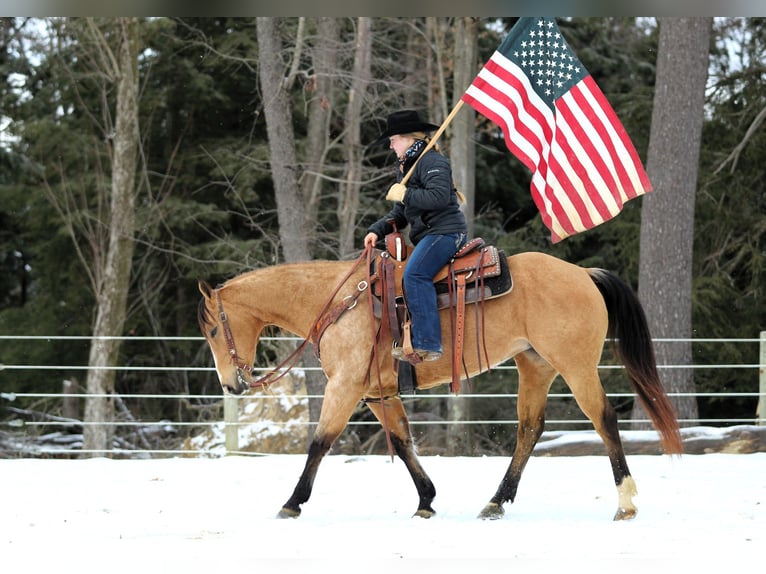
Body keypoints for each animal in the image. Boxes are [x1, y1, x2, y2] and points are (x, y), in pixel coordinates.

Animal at [198, 250, 684, 524]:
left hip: (576, 365)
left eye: (213, 330)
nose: (230, 385)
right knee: (529, 429)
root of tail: (583, 273)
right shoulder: (378, 393)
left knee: (604, 419)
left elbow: (320, 443)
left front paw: (292, 503)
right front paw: (427, 501)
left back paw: (626, 503)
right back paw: (495, 503)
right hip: (536, 367)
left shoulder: (345, 387)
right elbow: (402, 442)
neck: (339, 301)